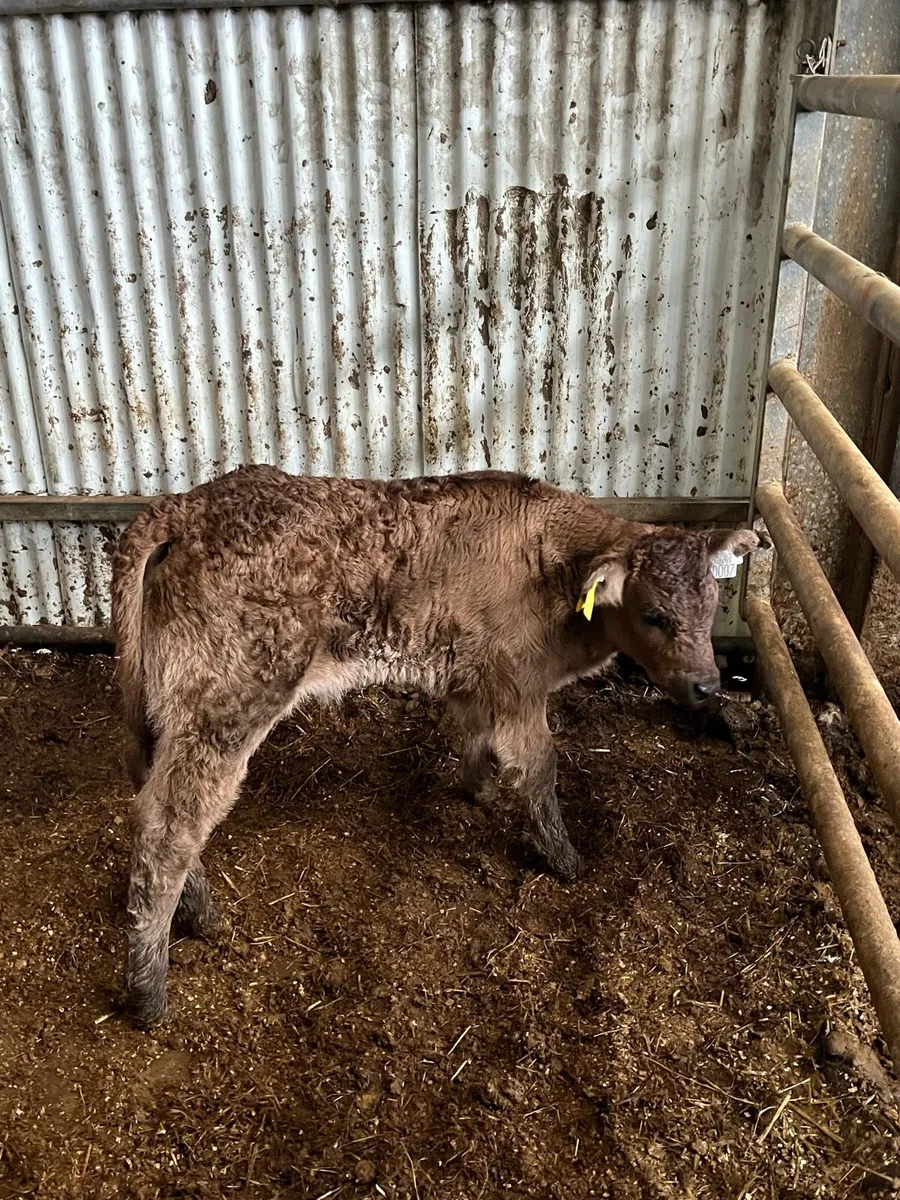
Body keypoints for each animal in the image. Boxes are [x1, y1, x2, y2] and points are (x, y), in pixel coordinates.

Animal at [111, 465, 760, 1024]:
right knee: (170, 825)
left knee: (157, 803)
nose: (708, 685)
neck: (552, 562)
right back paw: (150, 990)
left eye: (713, 604)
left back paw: (196, 916)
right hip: (227, 701)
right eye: (653, 614)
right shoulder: (518, 682)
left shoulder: (475, 674)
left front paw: (478, 790)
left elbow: (475, 735)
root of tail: (182, 508)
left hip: (166, 711)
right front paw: (565, 860)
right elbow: (540, 768)